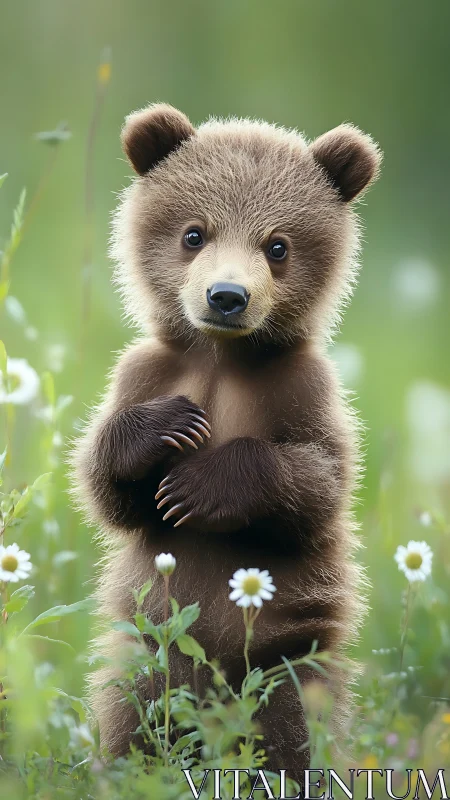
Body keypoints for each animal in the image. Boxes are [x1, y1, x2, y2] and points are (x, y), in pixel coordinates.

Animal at [72, 103, 381, 780]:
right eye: (195, 233)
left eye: (278, 245)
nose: (227, 296)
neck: (221, 357)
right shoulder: (145, 372)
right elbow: (106, 486)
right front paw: (169, 428)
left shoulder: (304, 388)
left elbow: (320, 481)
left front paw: (199, 485)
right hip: (152, 656)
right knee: (135, 717)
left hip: (285, 662)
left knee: (289, 735)